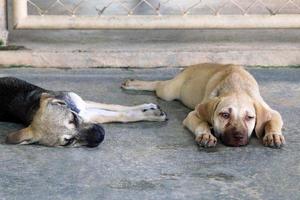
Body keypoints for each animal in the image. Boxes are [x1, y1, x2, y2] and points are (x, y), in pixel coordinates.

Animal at [0, 76, 166, 147]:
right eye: (69, 141)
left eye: (73, 119)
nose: (100, 136)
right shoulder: (91, 113)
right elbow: (120, 114)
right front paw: (150, 115)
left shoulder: (81, 103)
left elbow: (116, 106)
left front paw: (148, 107)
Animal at [122, 63, 286, 148]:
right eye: (225, 115)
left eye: (250, 117)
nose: (239, 136)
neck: (236, 87)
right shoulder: (193, 115)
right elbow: (202, 122)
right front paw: (206, 135)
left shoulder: (273, 112)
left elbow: (272, 121)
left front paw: (273, 135)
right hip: (168, 91)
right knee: (158, 84)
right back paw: (133, 84)